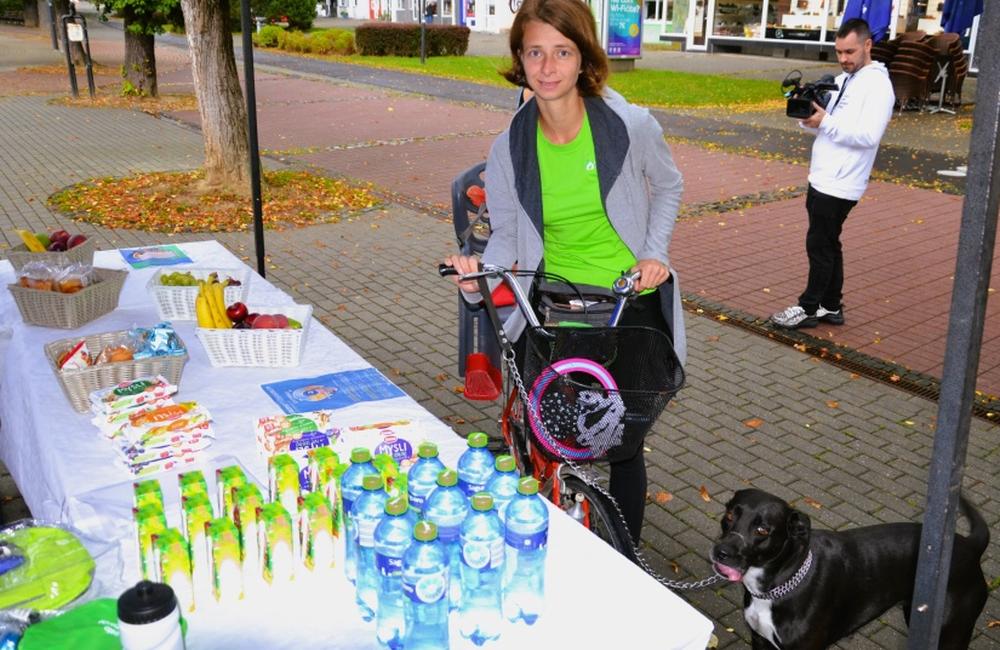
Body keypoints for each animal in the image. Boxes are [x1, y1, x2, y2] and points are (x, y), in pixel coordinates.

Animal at [712, 488, 992, 644]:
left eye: (762, 530)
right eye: (729, 515)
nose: (720, 552)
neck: (780, 584)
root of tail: (970, 546)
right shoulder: (760, 641)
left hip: (951, 632)